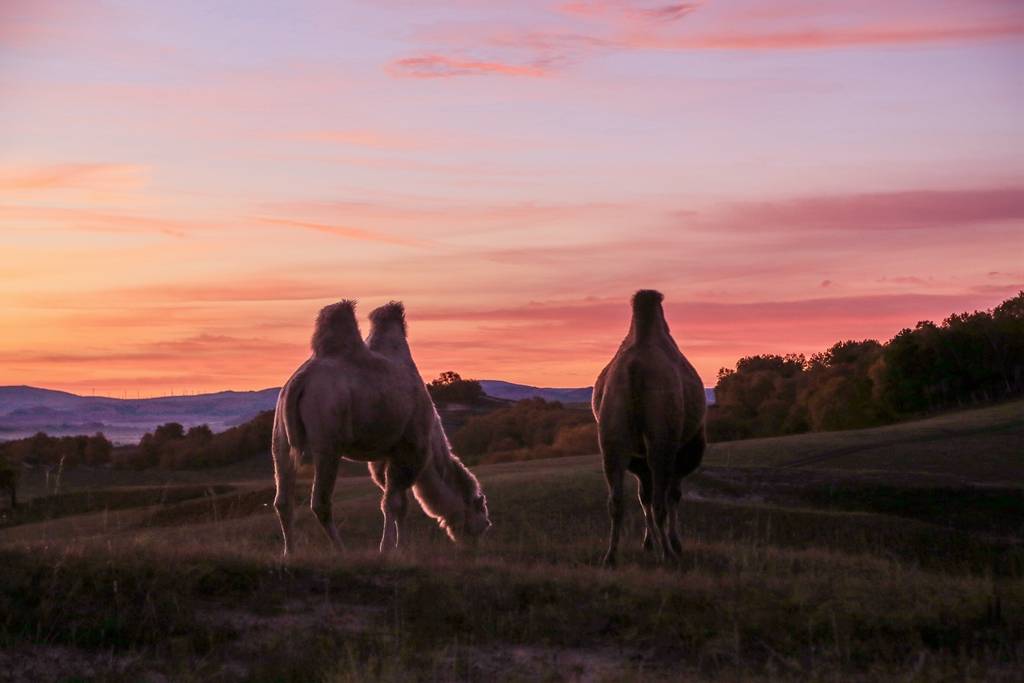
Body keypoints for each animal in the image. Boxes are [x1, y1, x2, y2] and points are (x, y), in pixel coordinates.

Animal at [270, 299, 489, 557]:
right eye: (483, 521)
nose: (473, 547)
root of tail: (299, 382)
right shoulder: (410, 449)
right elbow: (393, 503)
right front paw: (387, 548)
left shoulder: (384, 456)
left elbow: (400, 503)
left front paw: (399, 546)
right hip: (327, 437)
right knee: (320, 501)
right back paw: (342, 550)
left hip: (280, 435)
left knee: (283, 498)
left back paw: (289, 552)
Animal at [593, 290, 704, 565]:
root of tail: (633, 368)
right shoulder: (679, 450)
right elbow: (671, 494)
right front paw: (673, 544)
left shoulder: (638, 460)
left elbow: (644, 496)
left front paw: (649, 543)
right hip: (661, 440)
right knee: (661, 499)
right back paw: (668, 554)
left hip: (612, 437)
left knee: (617, 499)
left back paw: (611, 556)